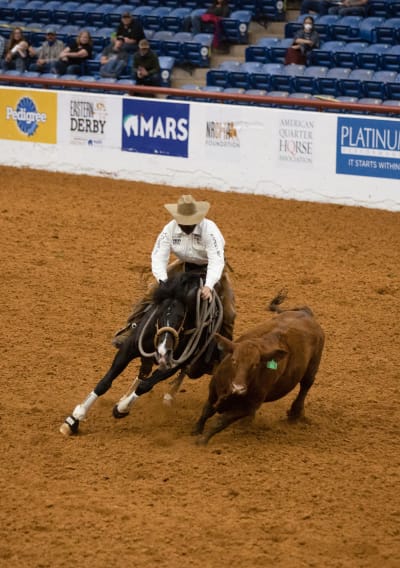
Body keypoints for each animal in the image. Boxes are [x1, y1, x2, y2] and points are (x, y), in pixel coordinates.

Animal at [191, 292, 324, 444]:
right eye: (234, 360)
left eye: (255, 365)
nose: (238, 388)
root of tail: (306, 313)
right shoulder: (213, 391)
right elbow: (206, 410)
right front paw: (196, 430)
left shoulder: (247, 407)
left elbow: (220, 421)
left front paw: (203, 440)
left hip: (313, 366)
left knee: (305, 386)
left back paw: (294, 414)